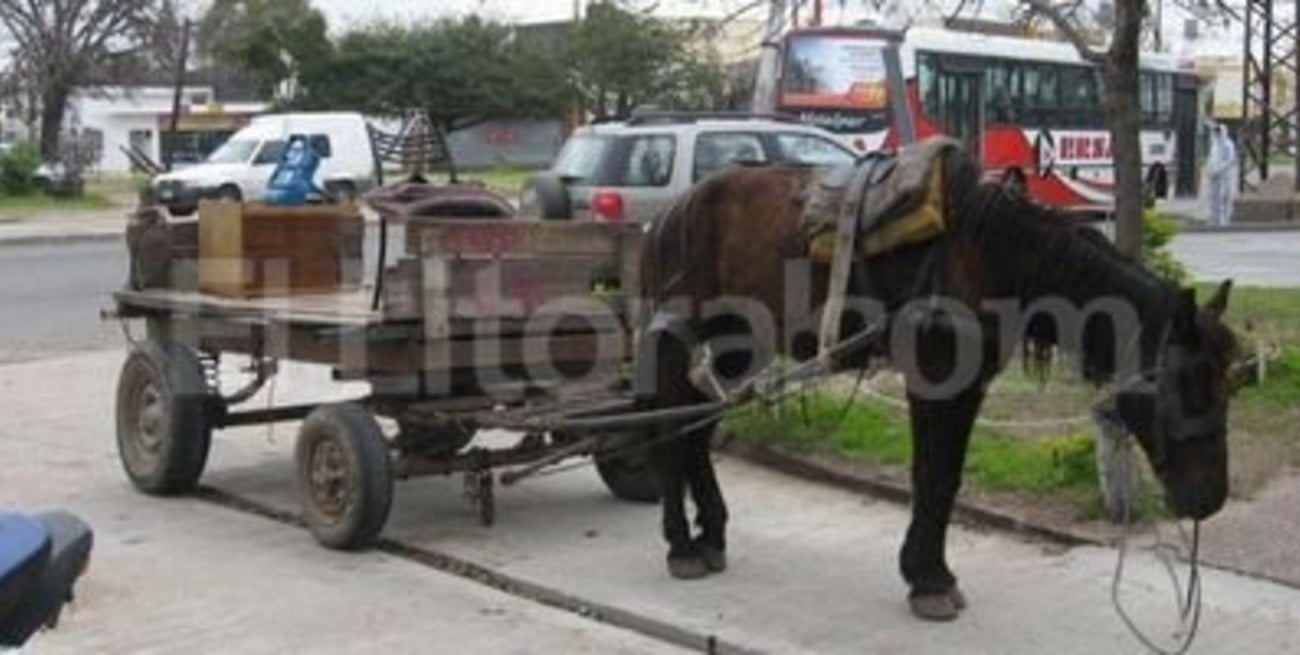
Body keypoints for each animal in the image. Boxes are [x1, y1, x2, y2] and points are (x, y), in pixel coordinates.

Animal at [637, 142, 1237, 618]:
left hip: (738, 344)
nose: (1211, 500)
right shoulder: (934, 375)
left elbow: (947, 479)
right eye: (1184, 386)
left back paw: (711, 533)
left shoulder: (970, 382)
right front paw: (926, 580)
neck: (991, 253)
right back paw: (681, 545)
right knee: (671, 429)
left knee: (696, 429)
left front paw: (932, 573)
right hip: (684, 336)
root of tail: (668, 212)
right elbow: (930, 475)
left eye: (1228, 383)